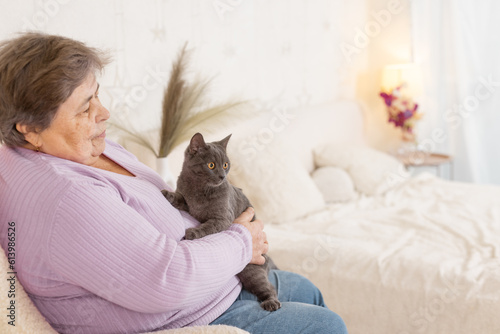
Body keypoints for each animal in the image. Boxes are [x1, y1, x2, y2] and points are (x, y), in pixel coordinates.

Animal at [163, 132, 282, 312]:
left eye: (226, 164)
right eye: (211, 165)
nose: (222, 176)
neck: (198, 188)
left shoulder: (223, 218)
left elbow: (209, 225)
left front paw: (193, 232)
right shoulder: (187, 203)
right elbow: (179, 198)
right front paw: (167, 194)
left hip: (252, 270)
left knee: (270, 287)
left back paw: (271, 303)